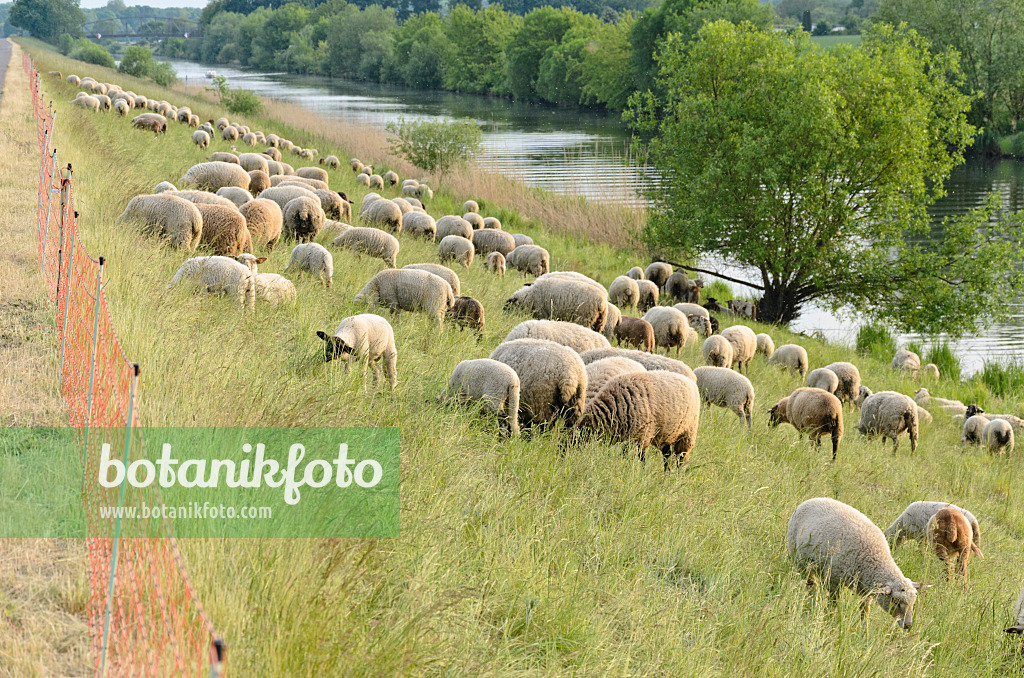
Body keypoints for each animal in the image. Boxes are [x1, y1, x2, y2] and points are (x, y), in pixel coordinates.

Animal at [782, 499, 929, 630]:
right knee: (811, 586)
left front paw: (864, 632)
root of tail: (810, 500)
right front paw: (831, 620)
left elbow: (864, 612)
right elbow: (833, 604)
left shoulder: (867, 592)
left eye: (913, 603)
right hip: (799, 561)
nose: (908, 625)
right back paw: (813, 603)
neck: (875, 558)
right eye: (896, 602)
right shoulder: (834, 581)